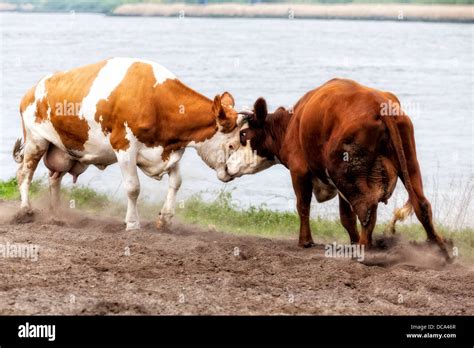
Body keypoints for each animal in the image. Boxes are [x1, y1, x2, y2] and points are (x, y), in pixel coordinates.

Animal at [12, 57, 243, 228]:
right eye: (232, 144)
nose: (232, 172)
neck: (155, 100)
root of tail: (31, 91)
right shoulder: (124, 146)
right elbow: (133, 187)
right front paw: (132, 223)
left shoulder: (169, 148)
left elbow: (176, 182)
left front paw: (165, 218)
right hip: (36, 141)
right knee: (25, 173)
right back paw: (25, 210)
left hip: (65, 150)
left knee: (54, 178)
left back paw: (57, 214)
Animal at [226, 77, 452, 260]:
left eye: (243, 134)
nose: (227, 165)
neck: (291, 124)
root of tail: (378, 102)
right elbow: (346, 216)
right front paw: (352, 241)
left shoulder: (299, 170)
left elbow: (303, 206)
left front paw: (305, 241)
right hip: (406, 161)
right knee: (420, 204)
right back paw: (440, 250)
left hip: (343, 170)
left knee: (366, 206)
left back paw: (364, 250)